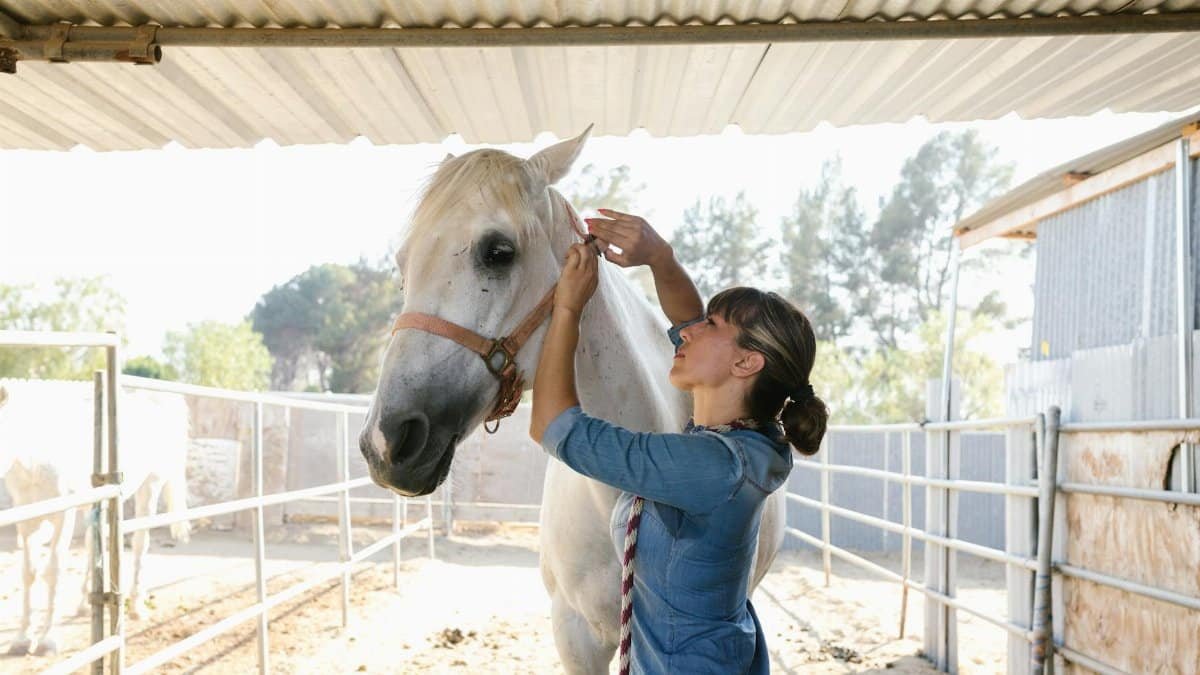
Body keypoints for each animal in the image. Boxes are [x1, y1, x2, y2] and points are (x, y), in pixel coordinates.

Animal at [0, 379, 191, 656]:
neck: (36, 461)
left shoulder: (63, 514)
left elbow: (53, 570)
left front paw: (48, 640)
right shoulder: (27, 517)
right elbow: (29, 572)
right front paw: (22, 639)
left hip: (150, 486)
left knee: (140, 543)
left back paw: (137, 605)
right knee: (94, 545)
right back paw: (84, 602)